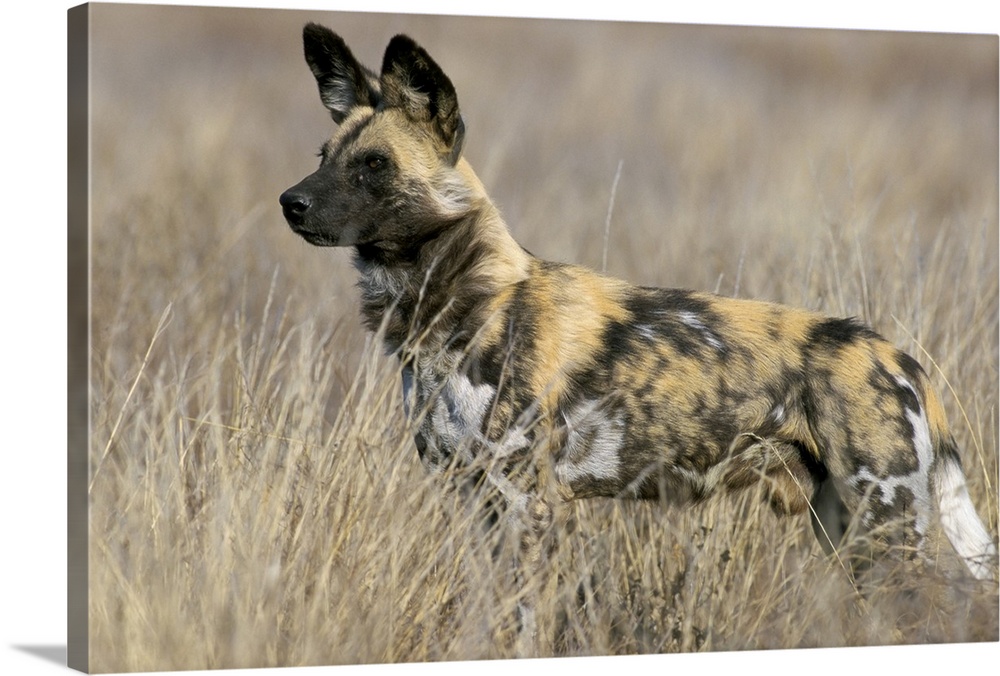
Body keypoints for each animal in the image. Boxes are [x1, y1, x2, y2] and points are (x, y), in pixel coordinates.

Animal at [280, 21, 992, 604]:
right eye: (323, 157)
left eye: (374, 165)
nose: (290, 202)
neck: (458, 304)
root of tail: (898, 358)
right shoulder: (476, 498)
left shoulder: (526, 503)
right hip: (847, 534)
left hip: (886, 532)